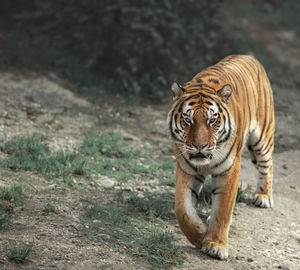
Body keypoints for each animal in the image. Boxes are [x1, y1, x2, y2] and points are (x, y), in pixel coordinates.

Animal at [168, 54, 276, 260]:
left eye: (212, 120)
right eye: (188, 120)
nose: (199, 146)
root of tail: (249, 56)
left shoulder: (229, 169)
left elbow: (223, 209)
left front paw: (216, 245)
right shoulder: (186, 168)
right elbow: (182, 208)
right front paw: (199, 234)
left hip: (262, 137)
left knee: (267, 165)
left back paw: (263, 196)